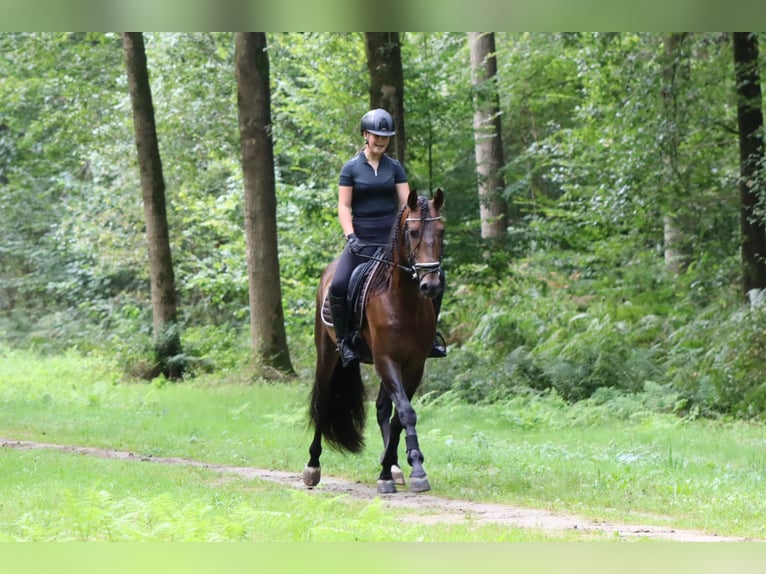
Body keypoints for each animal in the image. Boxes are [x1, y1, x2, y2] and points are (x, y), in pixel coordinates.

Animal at [303, 188, 445, 494]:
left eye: (441, 230)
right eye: (413, 232)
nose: (430, 285)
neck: (403, 301)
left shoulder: (414, 365)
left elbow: (399, 416)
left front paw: (398, 468)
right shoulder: (385, 359)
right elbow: (405, 412)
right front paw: (410, 471)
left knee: (382, 408)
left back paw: (394, 466)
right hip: (327, 355)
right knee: (323, 403)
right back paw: (312, 467)